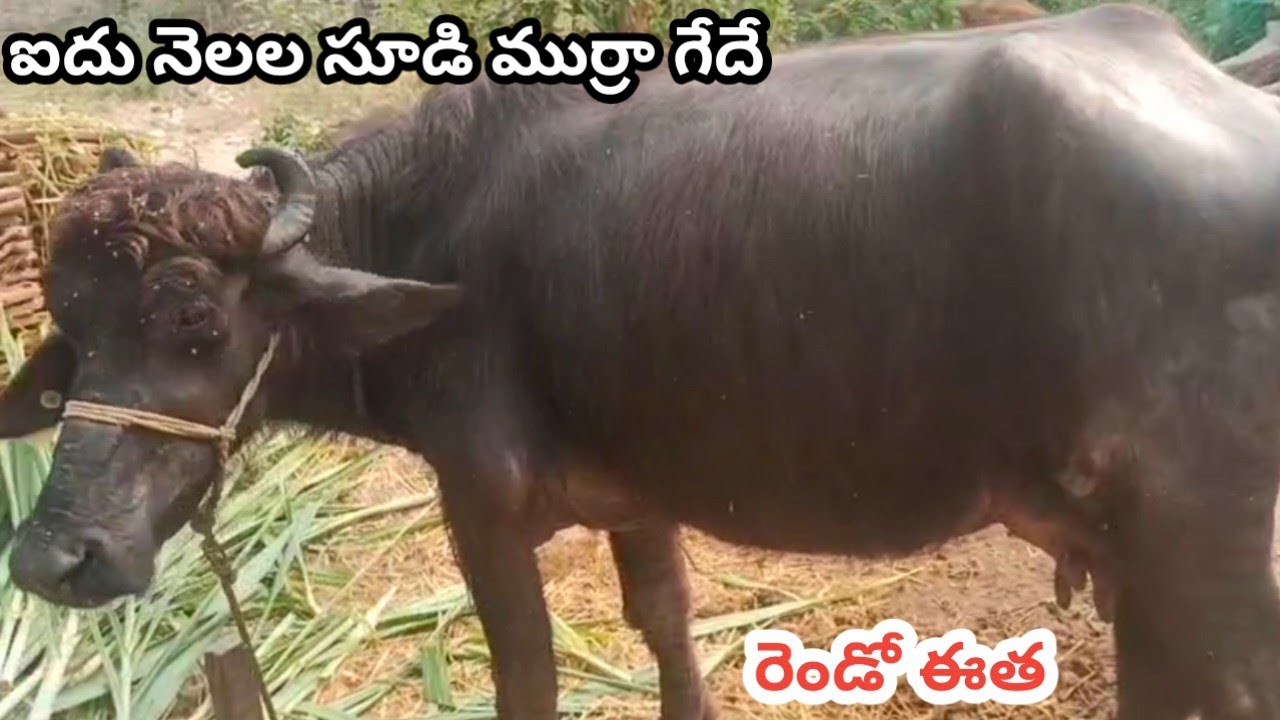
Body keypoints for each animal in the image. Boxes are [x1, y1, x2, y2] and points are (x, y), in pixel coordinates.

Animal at [4, 4, 1280, 718]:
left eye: (195, 323)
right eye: (70, 326)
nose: (55, 556)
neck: (434, 235)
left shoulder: (480, 509)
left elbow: (528, 681)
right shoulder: (638, 495)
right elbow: (665, 628)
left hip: (1206, 551)